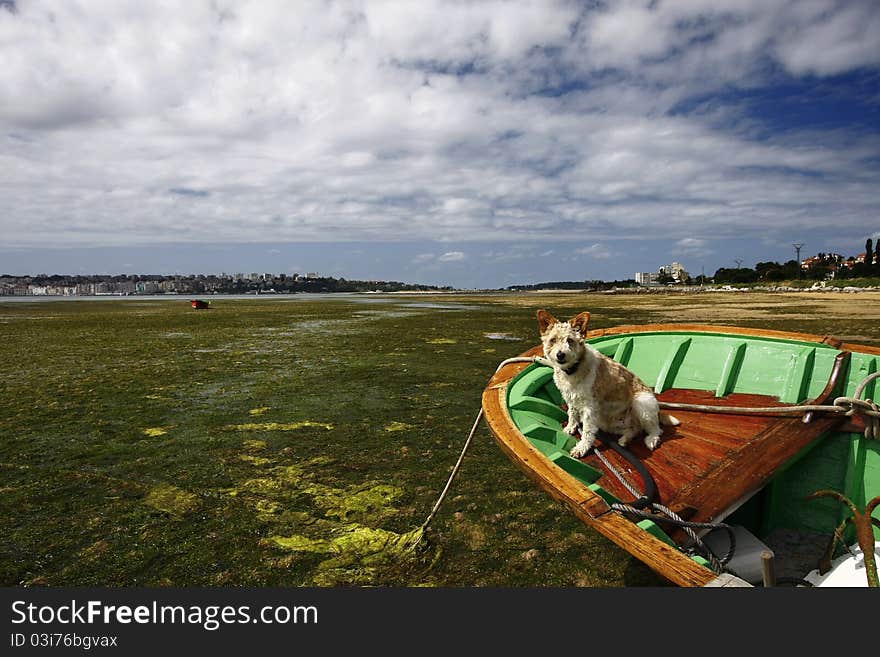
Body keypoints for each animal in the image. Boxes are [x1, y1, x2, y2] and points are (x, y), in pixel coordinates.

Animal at [536, 310, 680, 458]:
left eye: (570, 340)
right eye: (553, 340)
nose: (560, 355)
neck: (573, 370)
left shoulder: (590, 407)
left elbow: (587, 431)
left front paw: (581, 448)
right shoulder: (571, 398)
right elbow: (572, 414)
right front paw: (570, 428)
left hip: (642, 403)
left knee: (656, 429)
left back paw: (651, 440)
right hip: (612, 423)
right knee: (635, 429)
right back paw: (624, 440)